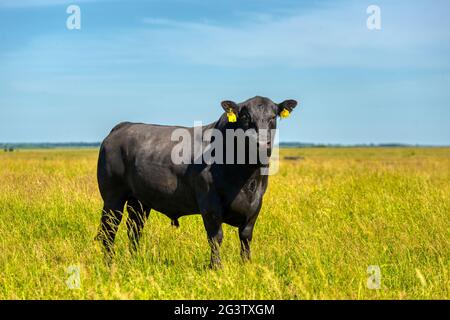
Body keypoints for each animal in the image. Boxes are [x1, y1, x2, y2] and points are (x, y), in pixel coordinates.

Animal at [96, 95, 298, 268]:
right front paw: (216, 267)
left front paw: (246, 265)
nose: (262, 143)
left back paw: (134, 260)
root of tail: (123, 126)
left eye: (273, 117)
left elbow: (246, 236)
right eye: (246, 117)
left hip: (139, 201)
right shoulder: (210, 202)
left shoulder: (256, 203)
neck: (246, 178)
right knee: (108, 230)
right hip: (113, 196)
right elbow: (216, 237)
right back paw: (109, 264)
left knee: (134, 229)